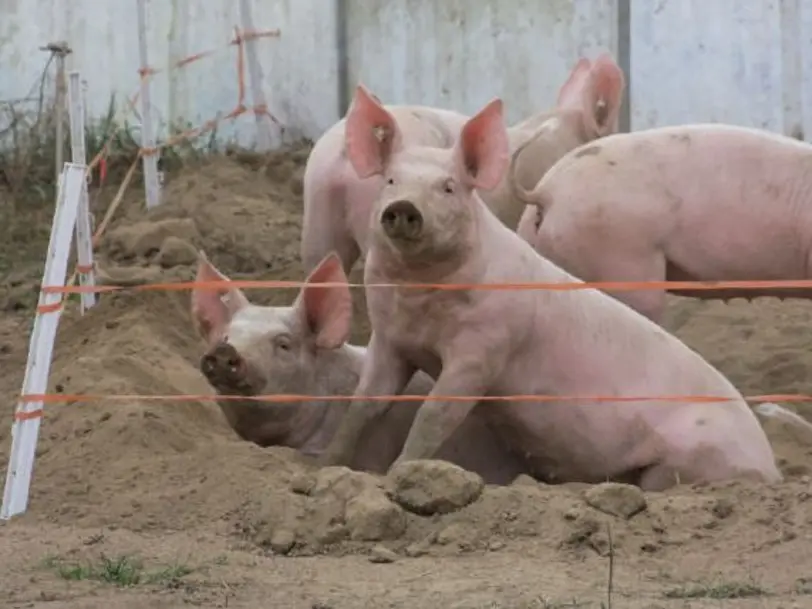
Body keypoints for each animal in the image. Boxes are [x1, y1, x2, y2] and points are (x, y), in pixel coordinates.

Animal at [320, 84, 784, 490]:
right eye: (390, 182)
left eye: (448, 187)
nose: (403, 207)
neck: (418, 299)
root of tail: (772, 467)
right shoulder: (389, 340)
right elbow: (364, 404)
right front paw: (327, 466)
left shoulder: (482, 351)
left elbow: (435, 416)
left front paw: (396, 477)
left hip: (688, 459)